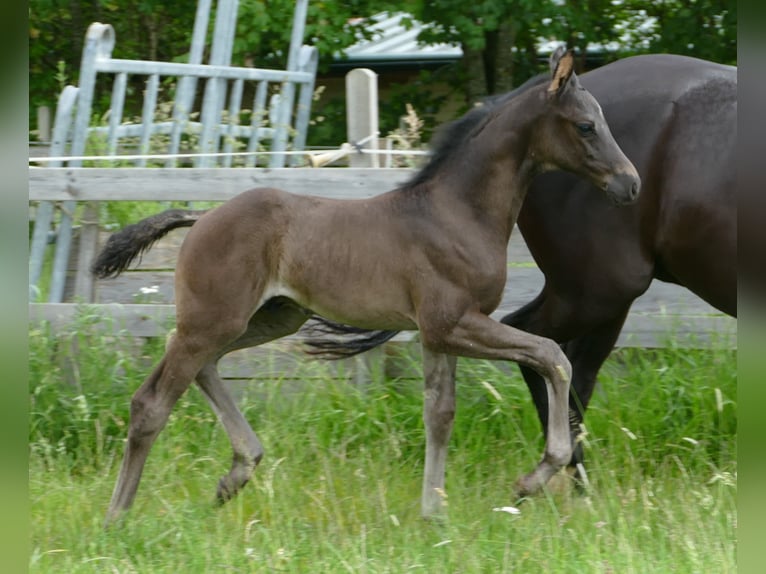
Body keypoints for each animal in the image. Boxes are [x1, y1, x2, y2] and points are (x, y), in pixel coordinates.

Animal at [93, 49, 640, 528]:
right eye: (586, 125)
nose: (630, 184)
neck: (456, 212)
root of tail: (203, 216)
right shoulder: (453, 324)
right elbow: (552, 355)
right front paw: (532, 478)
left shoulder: (438, 334)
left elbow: (440, 412)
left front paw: (433, 512)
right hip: (214, 320)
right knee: (152, 402)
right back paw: (117, 517)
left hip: (270, 316)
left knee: (203, 366)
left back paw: (238, 472)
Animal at [310, 55, 736, 486]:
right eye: (586, 126)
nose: (630, 184)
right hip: (598, 290)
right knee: (548, 350)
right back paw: (561, 477)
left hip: (599, 297)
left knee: (570, 368)